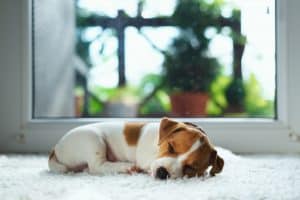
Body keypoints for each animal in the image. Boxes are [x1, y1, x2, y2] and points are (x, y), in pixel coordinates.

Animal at [48, 117, 223, 180]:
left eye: (191, 167)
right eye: (171, 147)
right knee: (96, 167)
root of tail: (55, 149)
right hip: (93, 139)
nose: (162, 173)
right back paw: (126, 167)